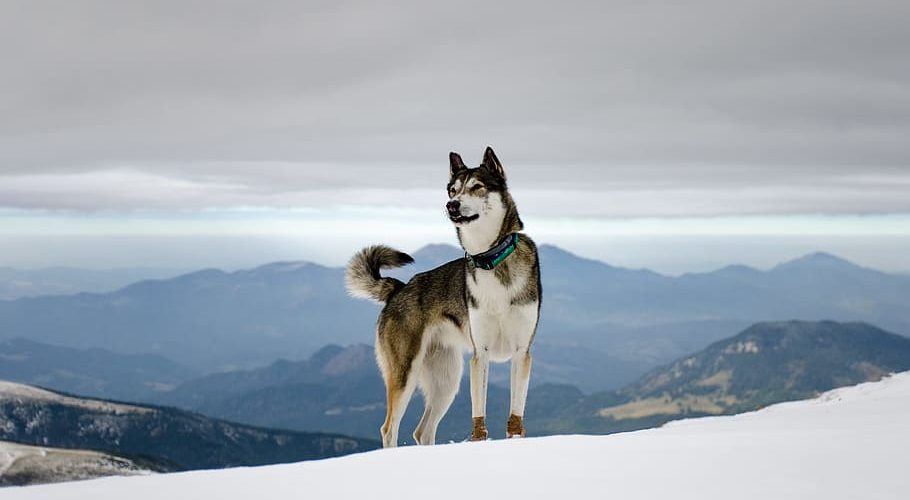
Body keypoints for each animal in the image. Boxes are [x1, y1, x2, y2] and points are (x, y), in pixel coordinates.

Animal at [346, 146, 536, 448]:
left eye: (477, 187)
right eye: (452, 190)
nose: (452, 205)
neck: (492, 261)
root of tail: (398, 288)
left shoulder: (521, 353)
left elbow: (515, 417)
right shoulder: (480, 355)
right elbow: (479, 417)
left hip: (446, 381)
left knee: (422, 431)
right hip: (405, 372)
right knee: (389, 428)